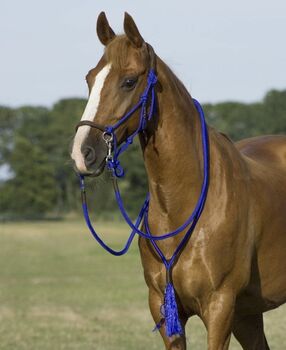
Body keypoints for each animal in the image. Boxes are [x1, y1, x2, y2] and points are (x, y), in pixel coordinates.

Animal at [70, 11, 286, 350]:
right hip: (248, 313)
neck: (183, 204)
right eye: (90, 79)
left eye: (129, 81)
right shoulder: (164, 308)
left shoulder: (220, 307)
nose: (83, 153)